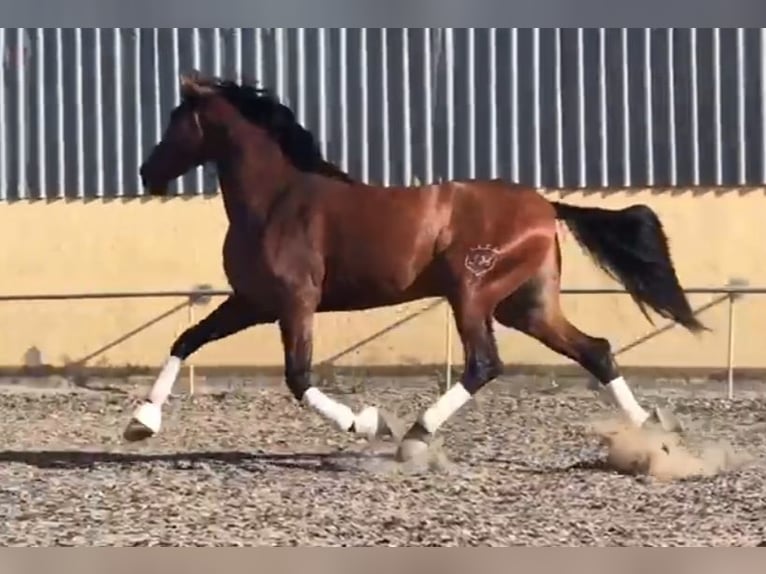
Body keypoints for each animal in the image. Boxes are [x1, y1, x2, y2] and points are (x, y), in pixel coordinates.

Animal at [123, 74, 704, 466]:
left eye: (176, 121)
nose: (147, 172)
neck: (276, 200)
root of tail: (546, 206)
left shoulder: (295, 302)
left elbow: (298, 377)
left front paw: (367, 423)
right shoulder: (252, 301)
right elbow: (186, 340)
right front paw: (140, 423)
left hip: (472, 294)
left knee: (484, 364)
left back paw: (415, 435)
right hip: (525, 306)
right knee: (596, 351)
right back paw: (657, 442)